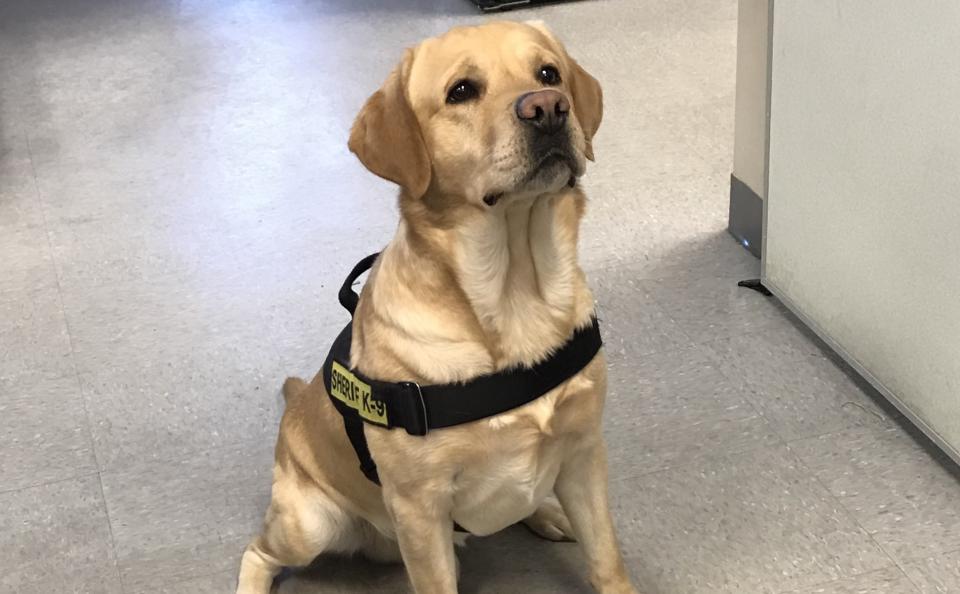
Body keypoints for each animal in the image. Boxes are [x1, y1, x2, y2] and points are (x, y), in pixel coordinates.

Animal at [236, 20, 636, 592]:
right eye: (461, 91)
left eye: (548, 73)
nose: (549, 108)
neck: (517, 295)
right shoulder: (419, 510)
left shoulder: (584, 453)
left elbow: (606, 560)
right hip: (309, 524)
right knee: (258, 550)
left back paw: (547, 513)